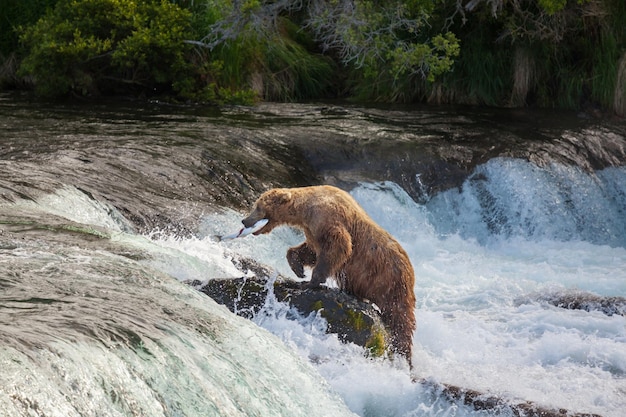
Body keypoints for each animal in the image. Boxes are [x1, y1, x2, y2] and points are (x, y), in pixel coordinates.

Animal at [243, 184, 414, 364]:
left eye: (258, 206)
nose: (245, 220)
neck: (304, 210)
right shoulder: (313, 230)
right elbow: (310, 251)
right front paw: (299, 269)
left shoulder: (328, 218)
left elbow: (338, 247)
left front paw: (309, 282)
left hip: (390, 282)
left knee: (401, 318)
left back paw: (404, 354)